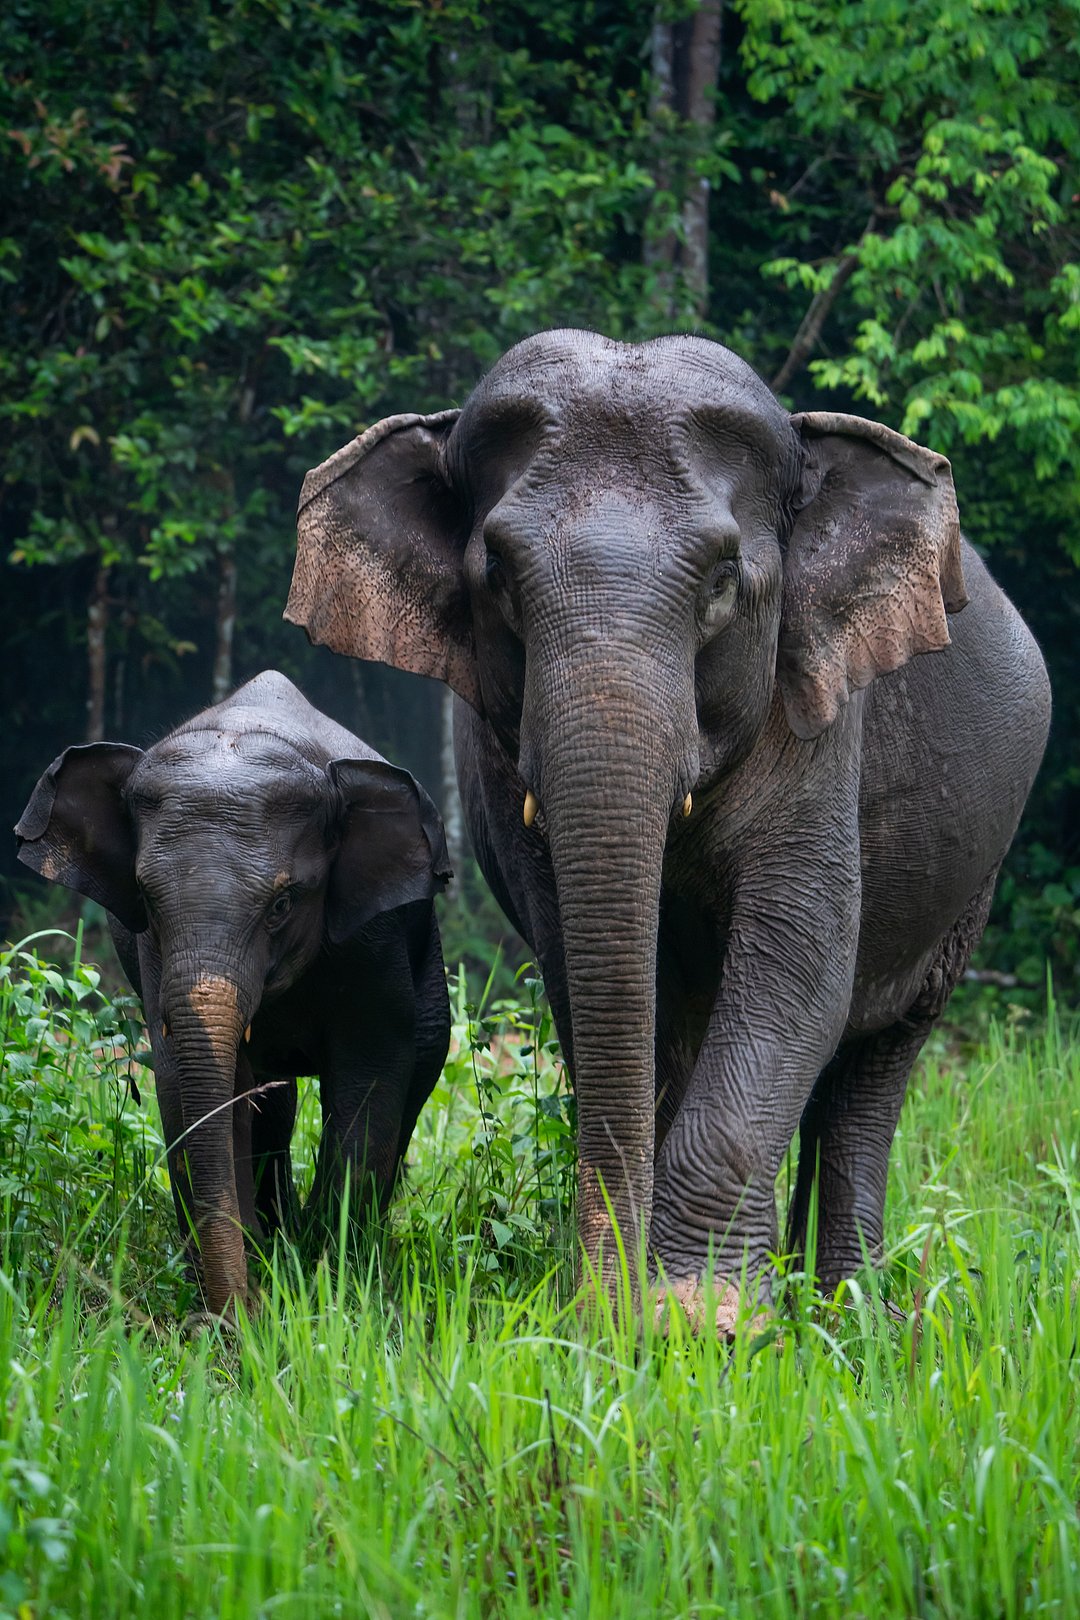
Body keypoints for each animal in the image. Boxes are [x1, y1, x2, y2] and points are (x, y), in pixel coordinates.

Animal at [15, 670, 451, 1319]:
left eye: (282, 904)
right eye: (146, 899)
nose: (228, 1320)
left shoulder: (372, 940)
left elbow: (370, 1072)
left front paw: (333, 1280)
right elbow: (187, 1086)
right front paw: (255, 1281)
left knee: (420, 1060)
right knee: (273, 1100)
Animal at [285, 329, 1051, 1328]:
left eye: (724, 582)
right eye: (498, 580)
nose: (598, 1305)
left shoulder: (818, 719)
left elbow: (800, 959)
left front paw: (703, 1319)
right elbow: (585, 968)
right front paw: (640, 1311)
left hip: (970, 886)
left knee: (875, 1060)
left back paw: (846, 1317)